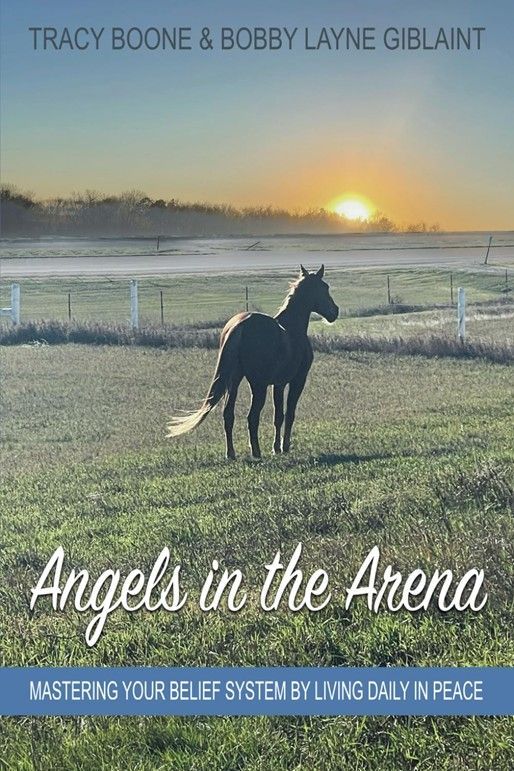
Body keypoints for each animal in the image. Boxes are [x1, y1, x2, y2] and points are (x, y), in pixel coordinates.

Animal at [167, 265, 339, 459]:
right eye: (325, 287)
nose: (335, 311)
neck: (292, 328)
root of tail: (239, 326)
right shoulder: (297, 381)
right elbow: (289, 413)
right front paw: (284, 446)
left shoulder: (278, 384)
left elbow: (278, 416)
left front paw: (276, 448)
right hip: (258, 385)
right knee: (252, 417)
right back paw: (256, 452)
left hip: (233, 381)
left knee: (228, 415)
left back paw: (231, 453)